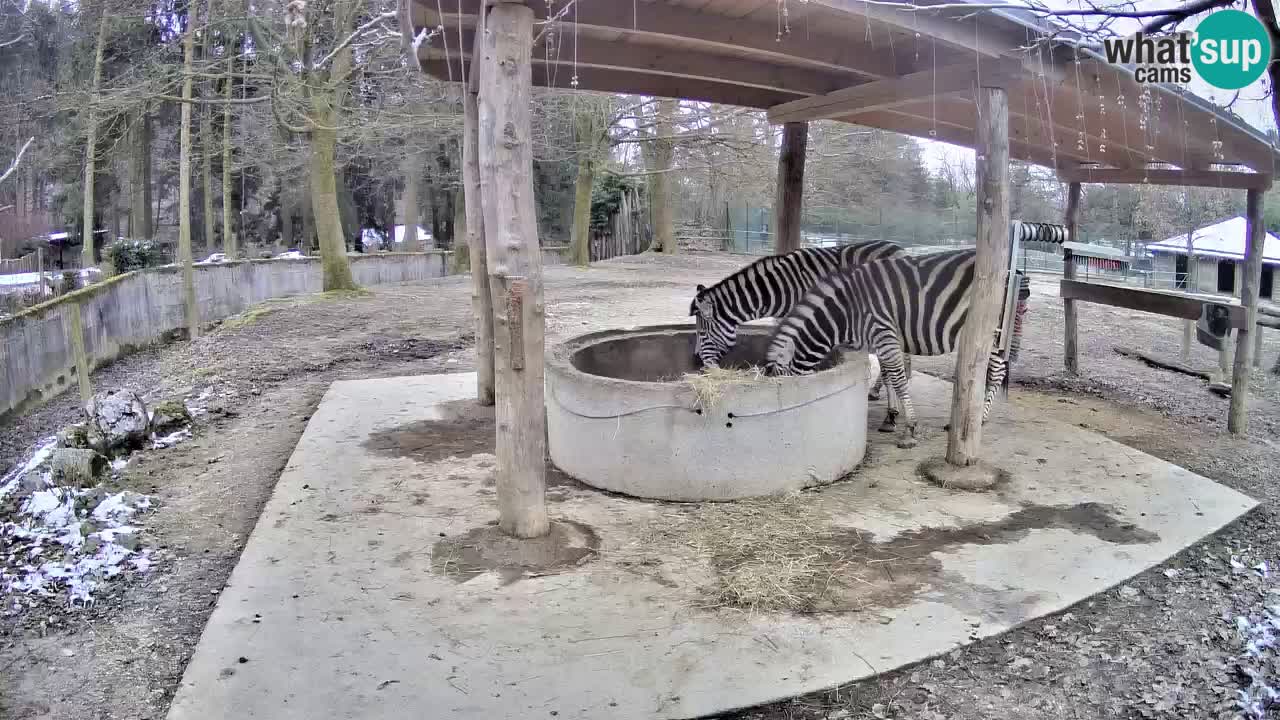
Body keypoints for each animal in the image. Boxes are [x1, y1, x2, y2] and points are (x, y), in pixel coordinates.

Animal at [762, 248, 1024, 448]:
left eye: (786, 388)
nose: (783, 431)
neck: (846, 312)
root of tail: (1014, 272)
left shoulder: (883, 331)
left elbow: (898, 378)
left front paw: (909, 428)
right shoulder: (879, 339)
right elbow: (890, 375)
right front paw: (892, 416)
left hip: (993, 333)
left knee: (997, 373)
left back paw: (981, 418)